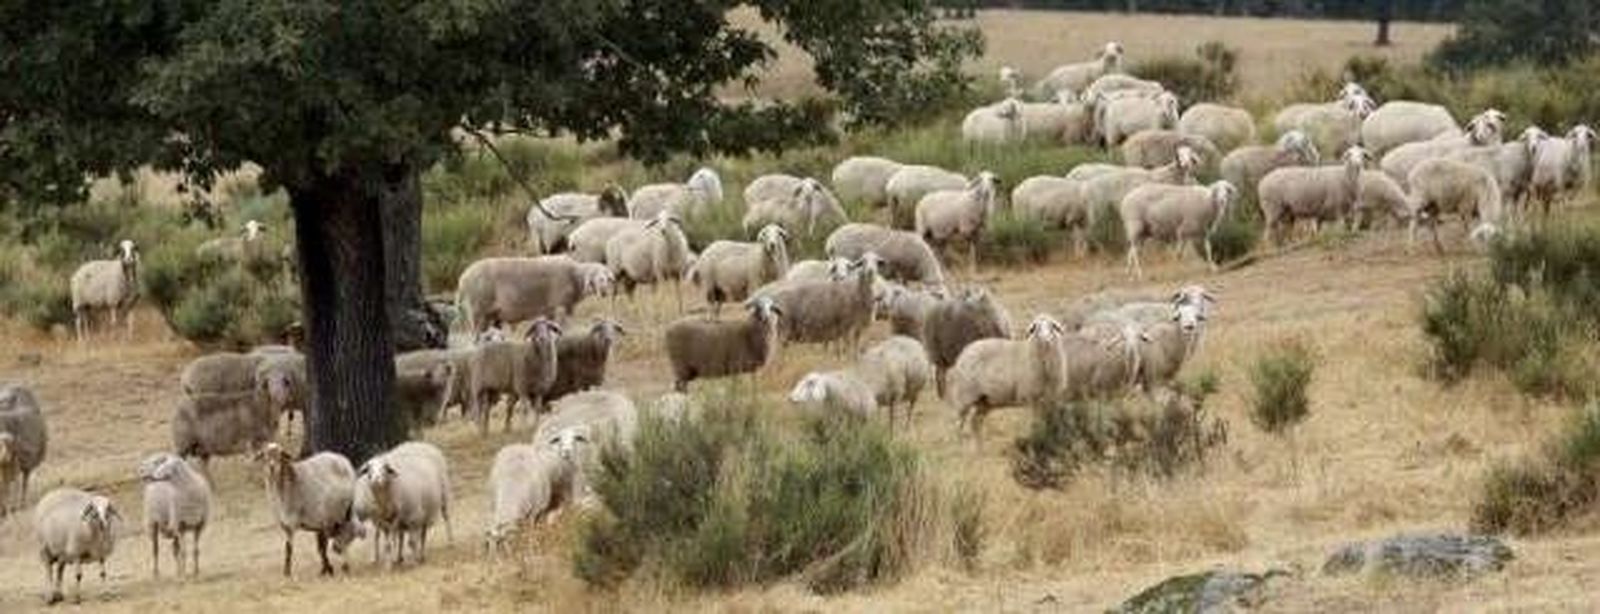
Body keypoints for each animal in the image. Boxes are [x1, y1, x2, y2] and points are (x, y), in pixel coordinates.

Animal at [256, 443, 358, 577]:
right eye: (265, 456)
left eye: (280, 455)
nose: (271, 467)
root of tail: (343, 459)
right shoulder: (287, 525)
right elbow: (303, 548)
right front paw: (326, 569)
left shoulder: (293, 523)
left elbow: (289, 548)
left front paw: (287, 572)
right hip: (328, 518)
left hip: (343, 512)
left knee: (343, 535)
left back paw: (345, 567)